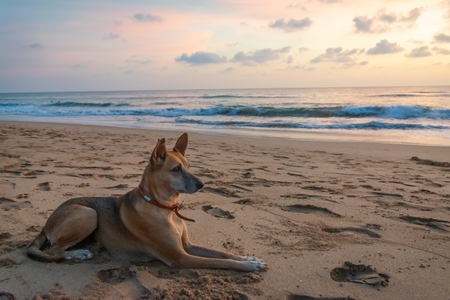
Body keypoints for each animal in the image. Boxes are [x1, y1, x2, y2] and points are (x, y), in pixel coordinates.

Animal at [26, 134, 266, 272]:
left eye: (189, 166)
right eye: (176, 169)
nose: (202, 184)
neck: (165, 207)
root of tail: (47, 223)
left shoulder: (187, 246)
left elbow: (222, 254)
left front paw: (248, 258)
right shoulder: (181, 257)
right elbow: (221, 262)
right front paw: (247, 265)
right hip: (87, 214)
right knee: (53, 251)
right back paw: (77, 254)